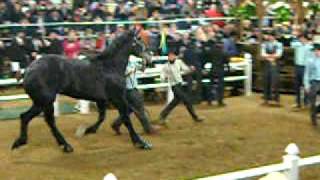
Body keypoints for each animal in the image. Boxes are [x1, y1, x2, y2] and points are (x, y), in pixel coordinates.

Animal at [11, 29, 152, 153]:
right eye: (139, 40)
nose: (149, 58)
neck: (109, 67)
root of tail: (29, 69)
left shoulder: (102, 100)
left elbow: (102, 117)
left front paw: (88, 130)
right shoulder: (117, 98)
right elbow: (126, 119)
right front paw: (141, 143)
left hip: (43, 102)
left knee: (35, 119)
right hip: (44, 102)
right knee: (34, 118)